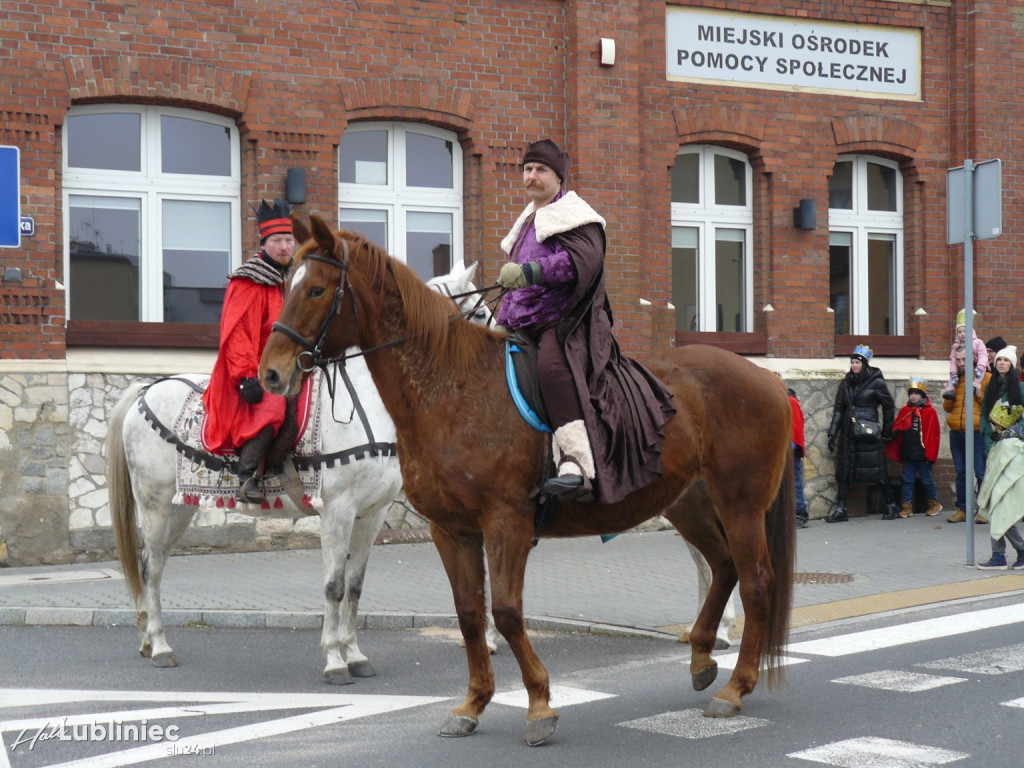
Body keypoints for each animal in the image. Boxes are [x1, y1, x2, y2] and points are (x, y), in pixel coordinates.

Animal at [105, 262, 489, 684]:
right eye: (482, 315)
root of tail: (145, 391)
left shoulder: (372, 514)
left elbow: (355, 586)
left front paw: (355, 655)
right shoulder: (338, 511)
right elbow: (334, 586)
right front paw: (335, 660)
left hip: (179, 509)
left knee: (154, 565)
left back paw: (147, 640)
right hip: (154, 504)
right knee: (151, 566)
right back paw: (159, 645)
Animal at [260, 215, 794, 745]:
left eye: (317, 289)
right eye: (287, 285)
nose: (270, 374)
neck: (451, 387)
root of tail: (766, 378)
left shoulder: (506, 522)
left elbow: (508, 612)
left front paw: (538, 704)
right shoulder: (449, 529)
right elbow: (470, 614)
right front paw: (473, 703)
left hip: (741, 505)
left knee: (756, 582)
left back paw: (735, 688)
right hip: (689, 503)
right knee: (723, 566)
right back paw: (702, 656)